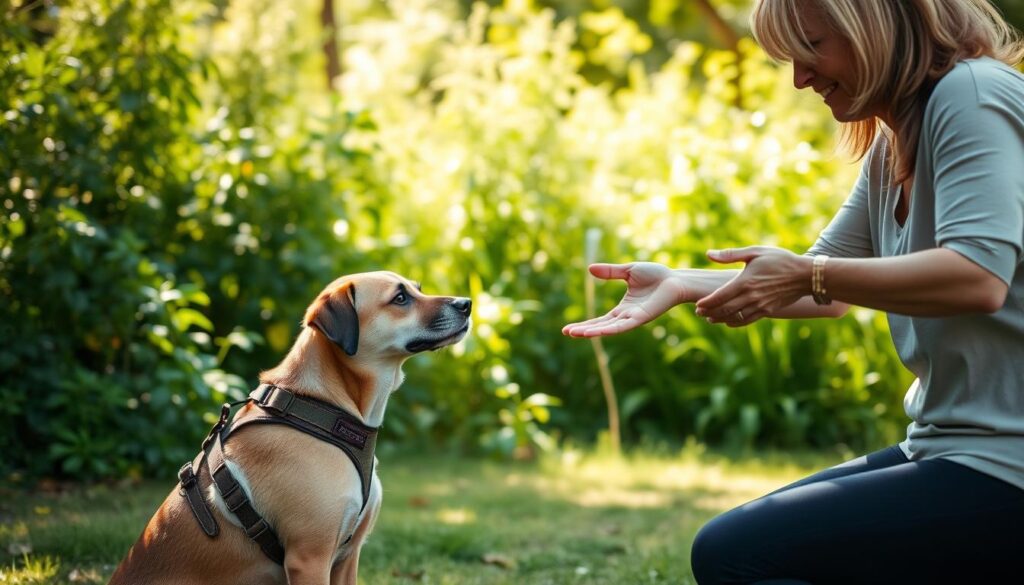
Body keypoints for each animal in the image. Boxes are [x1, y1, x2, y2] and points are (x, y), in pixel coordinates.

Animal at [111, 272, 471, 585]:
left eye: (417, 288)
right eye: (400, 298)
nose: (466, 303)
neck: (322, 405)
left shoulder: (348, 556)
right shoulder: (309, 558)